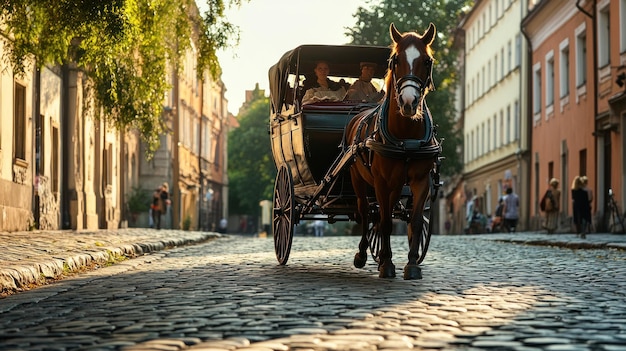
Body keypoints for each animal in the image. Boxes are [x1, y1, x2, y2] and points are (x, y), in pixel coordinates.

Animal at [346, 22, 438, 280]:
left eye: (427, 60)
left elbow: (415, 221)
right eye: (396, 60)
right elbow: (385, 221)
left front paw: (412, 264)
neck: (406, 136)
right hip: (359, 181)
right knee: (366, 213)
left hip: (397, 185)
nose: (408, 102)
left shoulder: (421, 180)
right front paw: (386, 264)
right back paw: (362, 255)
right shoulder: (381, 181)